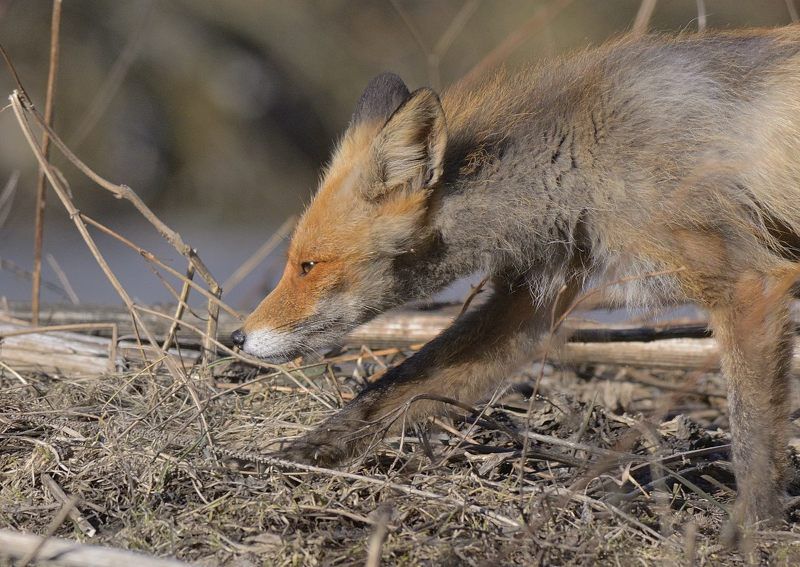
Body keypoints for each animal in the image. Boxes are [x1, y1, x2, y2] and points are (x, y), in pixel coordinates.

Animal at [232, 27, 800, 533]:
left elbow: (752, 433)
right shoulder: (529, 304)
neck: (587, 152)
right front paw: (305, 451)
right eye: (295, 262)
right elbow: (397, 385)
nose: (236, 337)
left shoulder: (749, 283)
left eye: (309, 266)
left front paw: (753, 529)